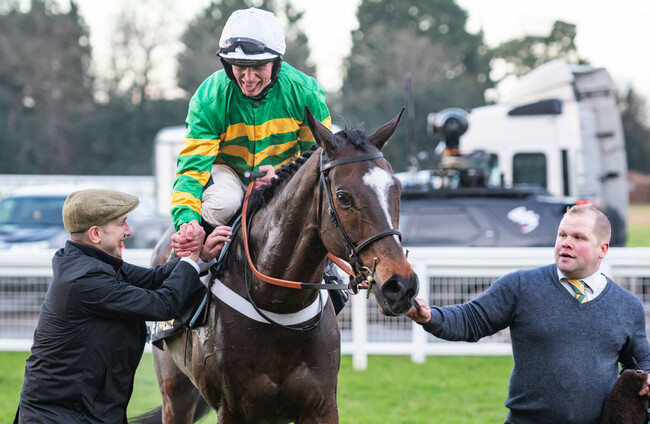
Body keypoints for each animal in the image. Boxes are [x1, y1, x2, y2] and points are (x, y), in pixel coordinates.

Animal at [135, 108, 419, 423]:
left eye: (397, 189)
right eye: (343, 197)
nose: (400, 285)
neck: (278, 304)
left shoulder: (321, 405)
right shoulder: (231, 408)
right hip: (175, 391)